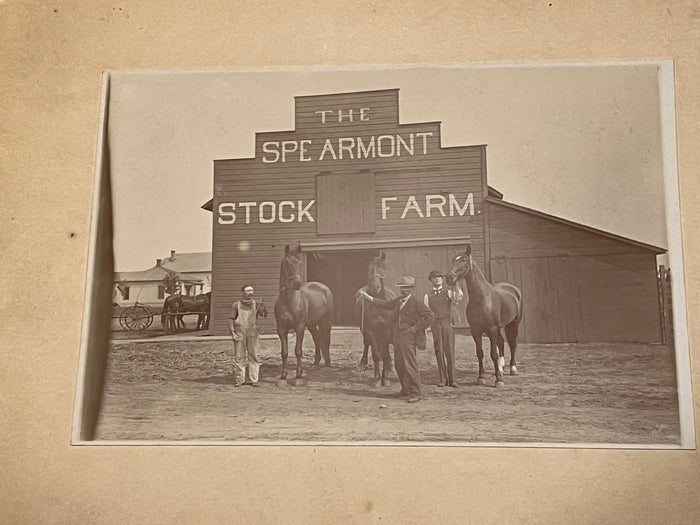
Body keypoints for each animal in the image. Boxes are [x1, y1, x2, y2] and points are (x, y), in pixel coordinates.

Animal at [274, 244, 334, 382]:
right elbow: (284, 352)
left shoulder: (299, 327)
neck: (288, 300)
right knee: (317, 338)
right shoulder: (281, 329)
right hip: (311, 324)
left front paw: (299, 373)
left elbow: (298, 350)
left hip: (325, 321)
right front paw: (283, 374)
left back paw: (327, 362)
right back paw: (316, 361)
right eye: (287, 262)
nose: (297, 284)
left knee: (326, 340)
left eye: (299, 263)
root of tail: (324, 288)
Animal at [352, 252, 396, 386]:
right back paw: (363, 365)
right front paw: (377, 378)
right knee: (368, 345)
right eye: (369, 269)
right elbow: (376, 354)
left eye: (383, 268)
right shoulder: (369, 330)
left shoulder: (386, 330)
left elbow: (385, 353)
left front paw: (386, 378)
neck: (379, 304)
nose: (373, 287)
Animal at [446, 245, 524, 384]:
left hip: (513, 324)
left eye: (464, 260)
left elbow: (493, 354)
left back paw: (513, 369)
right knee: (501, 343)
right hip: (499, 328)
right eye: (453, 260)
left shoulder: (491, 329)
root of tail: (513, 289)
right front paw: (481, 377)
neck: (482, 297)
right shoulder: (475, 330)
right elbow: (480, 353)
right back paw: (501, 368)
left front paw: (498, 380)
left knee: (512, 343)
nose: (449, 277)